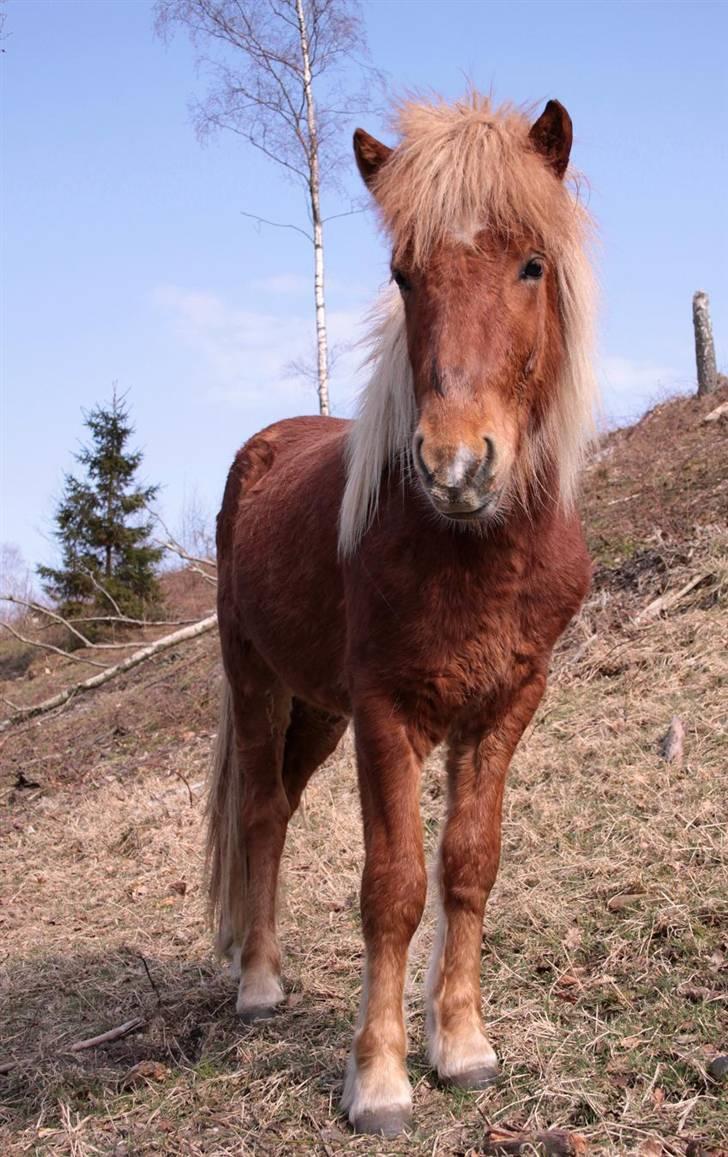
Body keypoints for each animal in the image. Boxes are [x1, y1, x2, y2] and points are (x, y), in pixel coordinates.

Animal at [210, 92, 597, 1138]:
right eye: (402, 274)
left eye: (531, 263)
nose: (456, 464)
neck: (468, 548)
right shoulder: (388, 713)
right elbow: (392, 886)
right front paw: (379, 1079)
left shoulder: (506, 704)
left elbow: (468, 863)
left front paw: (460, 1044)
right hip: (256, 680)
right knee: (259, 808)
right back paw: (258, 983)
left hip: (318, 708)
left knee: (281, 806)